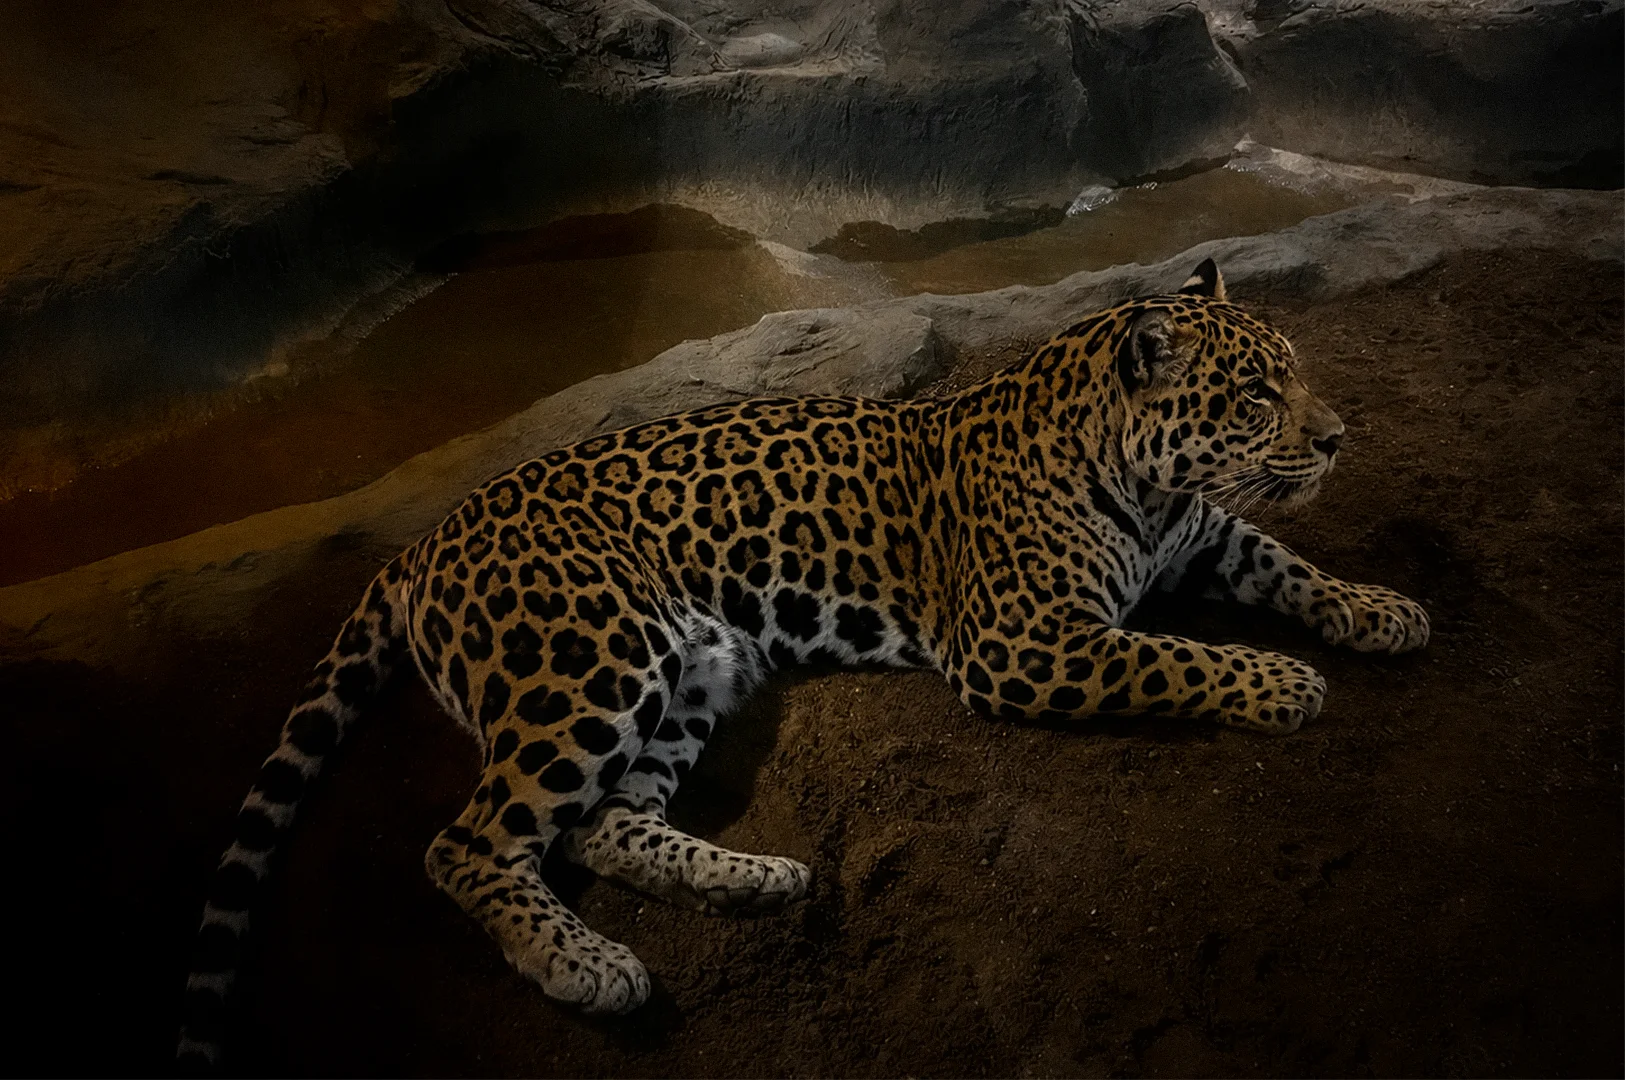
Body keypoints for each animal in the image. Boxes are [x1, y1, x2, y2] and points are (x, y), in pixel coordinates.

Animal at [179, 258, 1428, 1065]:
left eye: (1293, 376)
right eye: (1253, 394)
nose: (1335, 438)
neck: (1147, 483)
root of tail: (422, 543)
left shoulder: (1204, 538)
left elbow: (1286, 562)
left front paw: (1382, 611)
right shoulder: (1023, 643)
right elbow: (1174, 655)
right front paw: (1281, 683)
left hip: (695, 669)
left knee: (600, 824)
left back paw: (755, 882)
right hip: (591, 663)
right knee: (472, 842)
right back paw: (584, 966)